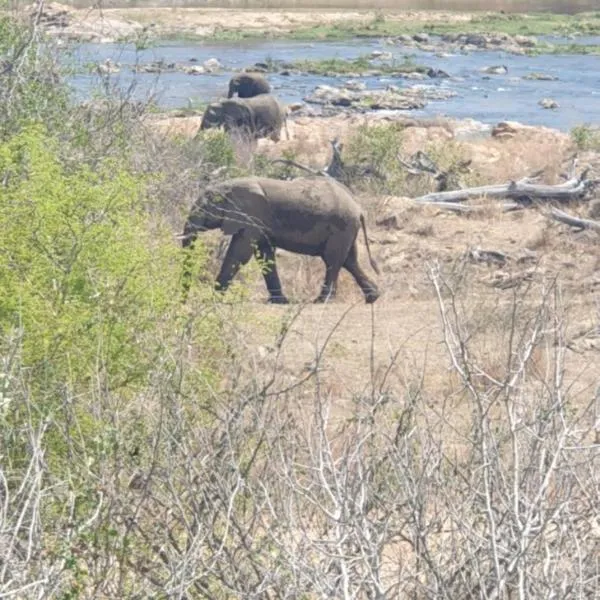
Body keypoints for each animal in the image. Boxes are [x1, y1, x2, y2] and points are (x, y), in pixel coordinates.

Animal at [180, 175, 382, 304]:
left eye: (206, 207)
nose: (183, 301)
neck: (228, 186)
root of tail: (359, 208)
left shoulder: (252, 216)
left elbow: (239, 253)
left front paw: (212, 298)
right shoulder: (257, 222)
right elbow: (264, 255)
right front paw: (279, 301)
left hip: (341, 226)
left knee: (332, 260)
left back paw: (322, 300)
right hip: (346, 229)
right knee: (349, 260)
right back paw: (373, 297)